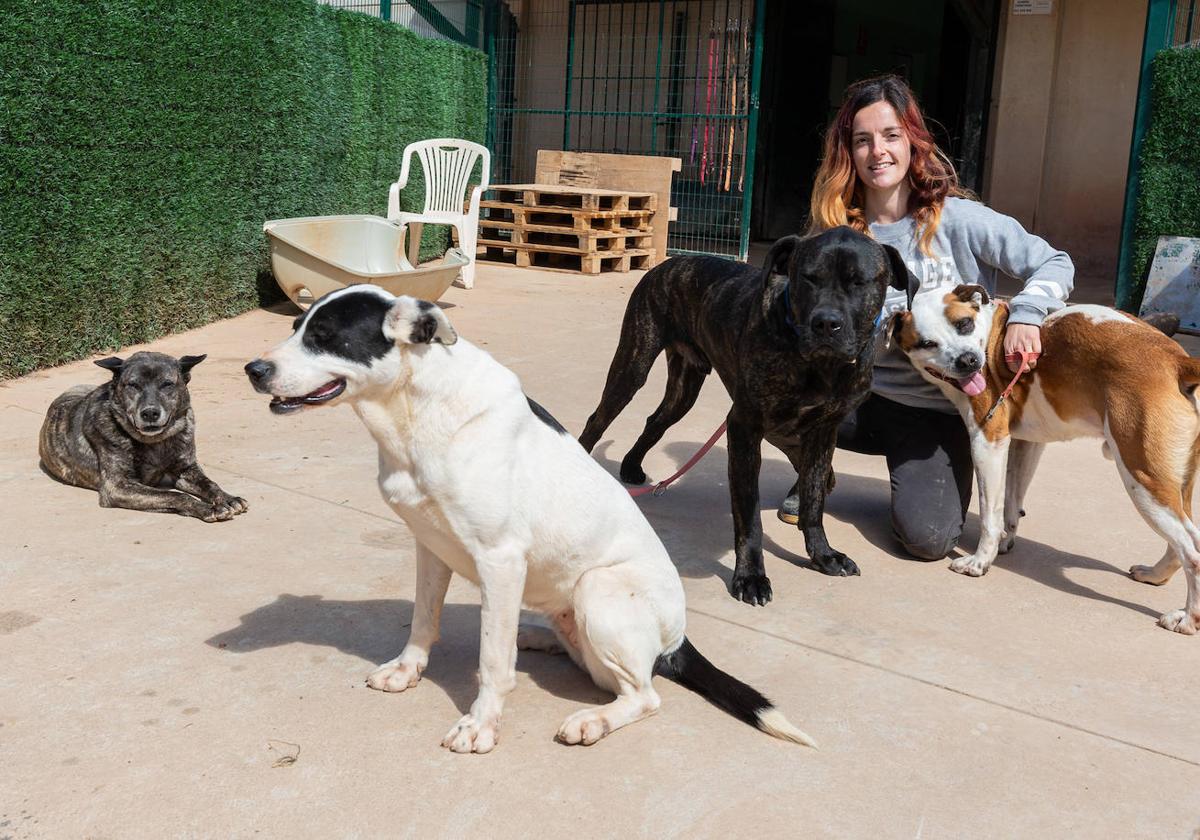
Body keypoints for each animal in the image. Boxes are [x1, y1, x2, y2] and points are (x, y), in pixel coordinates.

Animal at [38, 348, 248, 518]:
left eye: (167, 384)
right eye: (133, 385)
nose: (150, 413)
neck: (156, 442)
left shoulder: (186, 470)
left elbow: (210, 484)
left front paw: (228, 498)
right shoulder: (119, 486)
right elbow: (174, 495)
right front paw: (208, 508)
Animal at [241, 289, 816, 753]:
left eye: (324, 336)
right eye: (296, 326)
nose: (254, 370)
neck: (416, 411)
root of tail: (676, 640)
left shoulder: (500, 559)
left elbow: (493, 661)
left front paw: (481, 725)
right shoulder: (429, 546)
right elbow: (425, 619)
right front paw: (408, 670)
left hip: (598, 589)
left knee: (644, 694)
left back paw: (592, 719)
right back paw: (539, 635)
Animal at [580, 223, 907, 604]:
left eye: (858, 282)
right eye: (808, 278)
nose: (826, 323)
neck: (820, 366)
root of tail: (669, 263)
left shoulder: (822, 432)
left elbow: (814, 500)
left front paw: (823, 555)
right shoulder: (744, 427)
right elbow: (750, 515)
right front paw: (751, 577)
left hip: (684, 389)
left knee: (655, 421)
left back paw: (632, 466)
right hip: (633, 364)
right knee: (597, 420)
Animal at [897, 285, 1200, 633]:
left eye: (963, 324)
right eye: (927, 343)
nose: (969, 361)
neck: (990, 337)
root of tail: (1177, 359)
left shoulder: (988, 441)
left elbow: (990, 513)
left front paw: (981, 561)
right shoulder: (1027, 444)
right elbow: (1011, 503)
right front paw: (1006, 541)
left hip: (1143, 478)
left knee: (1192, 551)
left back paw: (1188, 619)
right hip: (1175, 481)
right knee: (1189, 537)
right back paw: (1155, 574)